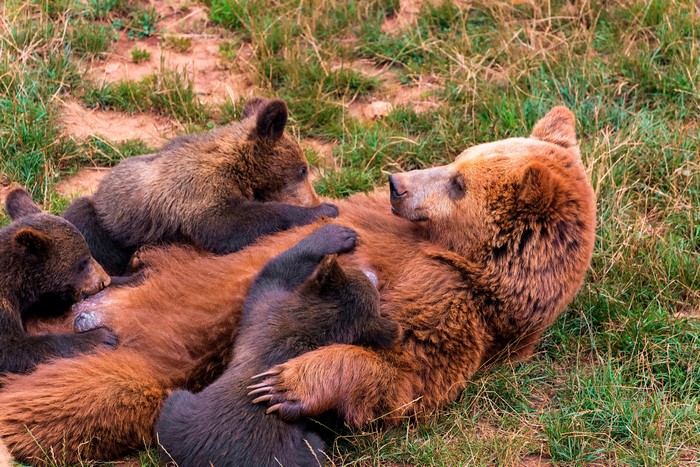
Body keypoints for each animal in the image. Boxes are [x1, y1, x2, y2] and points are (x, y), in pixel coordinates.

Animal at [63, 97, 338, 276]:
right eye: (303, 169)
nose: (313, 199)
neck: (239, 168)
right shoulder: (198, 189)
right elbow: (224, 225)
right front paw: (324, 209)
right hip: (105, 219)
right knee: (85, 224)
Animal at [156, 224, 399, 467]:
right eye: (362, 278)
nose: (373, 274)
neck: (315, 321)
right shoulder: (266, 308)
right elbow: (279, 267)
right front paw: (337, 234)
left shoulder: (264, 302)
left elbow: (276, 267)